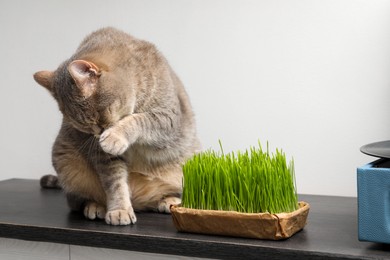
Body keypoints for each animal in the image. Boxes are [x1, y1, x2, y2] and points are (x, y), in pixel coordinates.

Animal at [32, 26, 201, 225]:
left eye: (98, 117)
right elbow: (115, 183)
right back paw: (95, 206)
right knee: (77, 201)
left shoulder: (168, 119)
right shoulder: (103, 157)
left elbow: (140, 120)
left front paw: (115, 135)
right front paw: (119, 209)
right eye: (84, 127)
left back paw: (169, 200)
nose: (100, 133)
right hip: (66, 163)